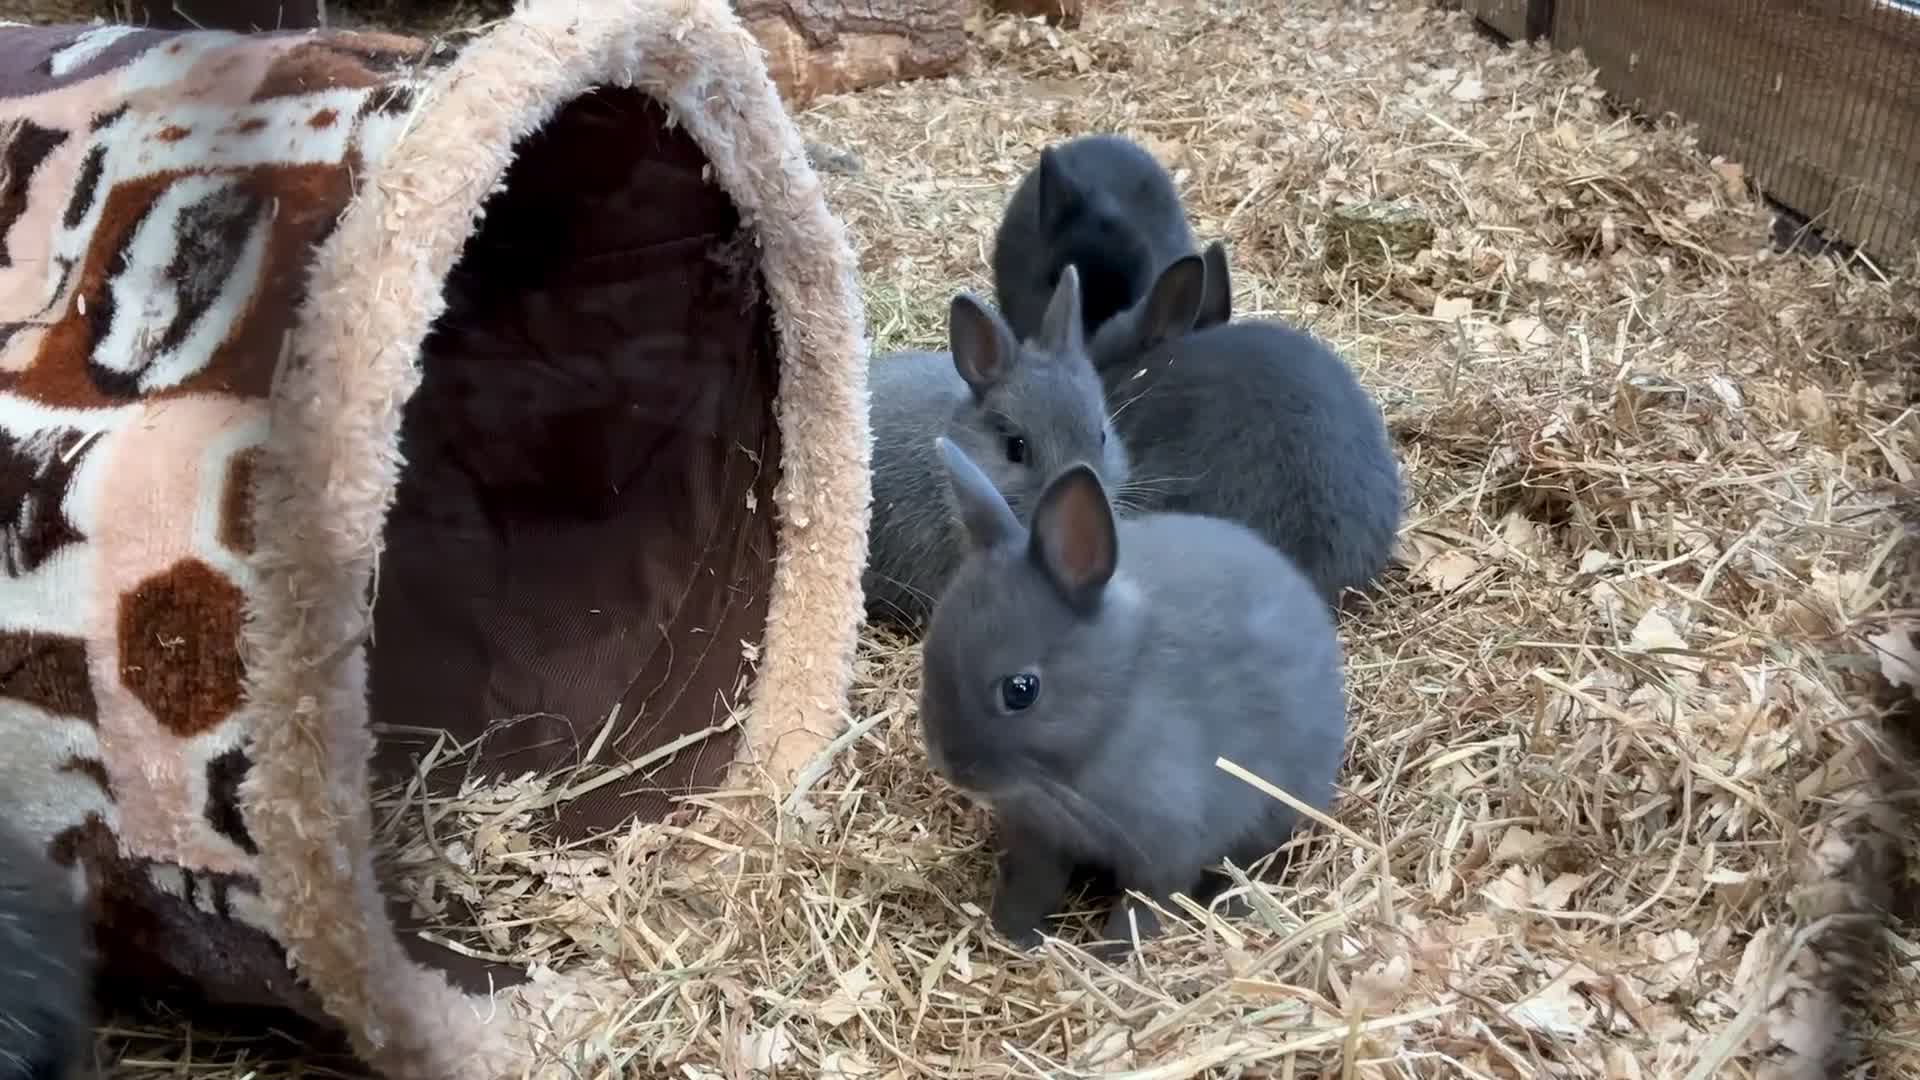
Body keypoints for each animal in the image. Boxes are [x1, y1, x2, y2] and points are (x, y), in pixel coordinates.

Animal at [918, 437, 1347, 952]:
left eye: (1021, 690)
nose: (950, 766)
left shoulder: (1165, 849)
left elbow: (1142, 909)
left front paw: (1110, 955)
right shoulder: (1037, 839)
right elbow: (1031, 886)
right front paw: (1013, 935)